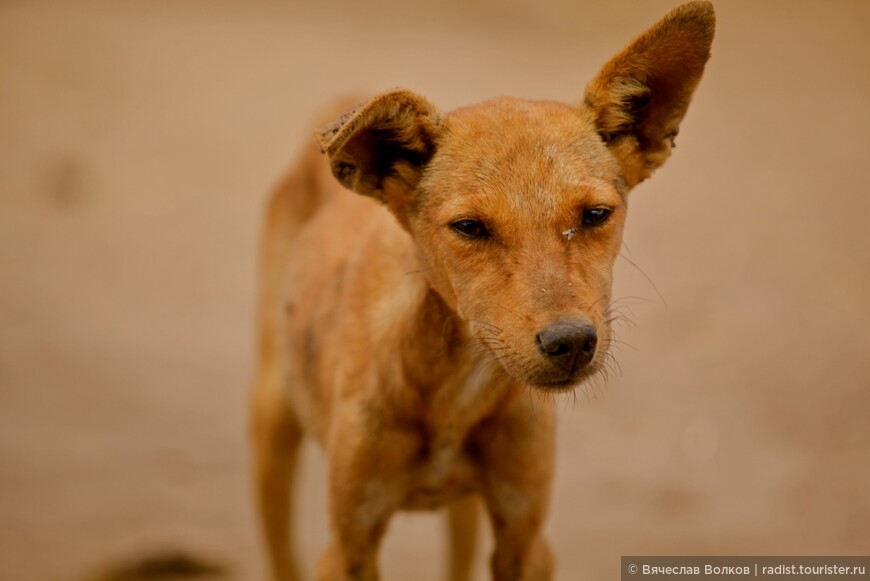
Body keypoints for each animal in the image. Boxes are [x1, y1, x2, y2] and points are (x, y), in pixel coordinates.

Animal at [250, 2, 716, 576]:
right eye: (470, 227)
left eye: (595, 215)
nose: (571, 343)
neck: (456, 384)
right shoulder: (349, 547)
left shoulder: (525, 537)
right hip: (272, 419)